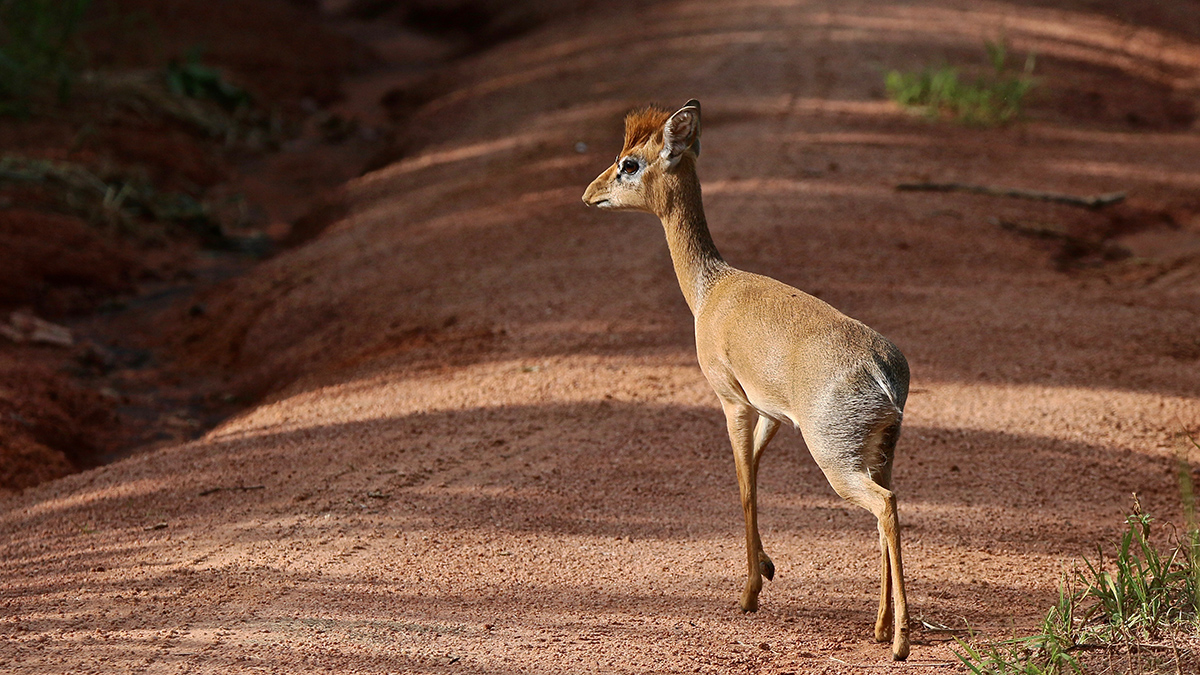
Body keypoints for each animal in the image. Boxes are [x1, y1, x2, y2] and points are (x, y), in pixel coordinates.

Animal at [580, 99, 907, 658]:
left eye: (629, 163)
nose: (589, 192)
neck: (710, 289)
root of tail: (882, 372)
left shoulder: (732, 399)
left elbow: (743, 483)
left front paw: (751, 591)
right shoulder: (771, 412)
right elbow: (751, 470)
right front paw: (768, 568)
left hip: (834, 457)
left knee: (885, 507)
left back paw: (900, 639)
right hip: (880, 452)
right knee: (888, 506)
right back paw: (882, 626)